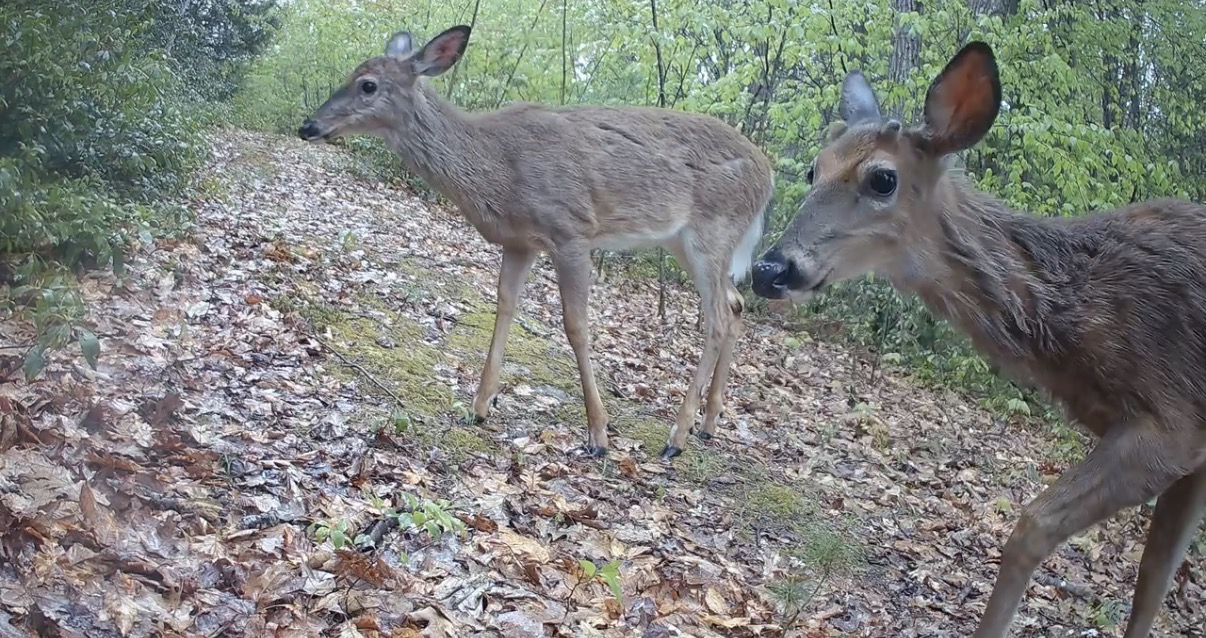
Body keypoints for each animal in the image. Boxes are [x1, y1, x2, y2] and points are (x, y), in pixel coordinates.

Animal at [297, 25, 775, 462]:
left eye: (368, 84)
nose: (308, 125)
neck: (497, 168)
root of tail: (767, 174)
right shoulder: (519, 242)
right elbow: (505, 306)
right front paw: (480, 406)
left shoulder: (572, 230)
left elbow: (576, 326)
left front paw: (599, 434)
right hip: (684, 240)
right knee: (735, 306)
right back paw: (707, 424)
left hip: (712, 229)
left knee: (717, 317)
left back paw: (677, 435)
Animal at [750, 41, 1205, 638]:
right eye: (813, 168)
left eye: (882, 179)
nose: (768, 269)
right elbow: (1154, 577)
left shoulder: (1175, 422)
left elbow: (1034, 527)